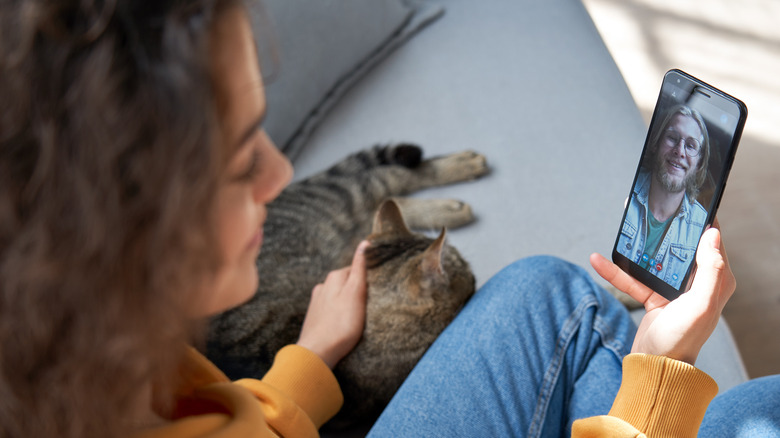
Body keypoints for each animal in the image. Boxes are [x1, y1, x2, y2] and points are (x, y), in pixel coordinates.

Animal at [206, 143, 488, 428]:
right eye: (464, 266)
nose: (474, 274)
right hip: (342, 204)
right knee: (386, 182)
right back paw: (456, 189)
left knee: (384, 190)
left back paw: (457, 183)